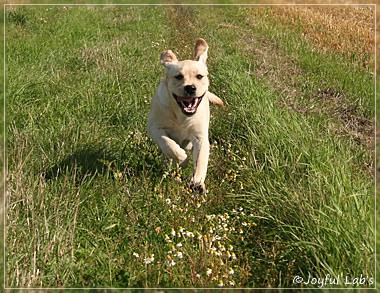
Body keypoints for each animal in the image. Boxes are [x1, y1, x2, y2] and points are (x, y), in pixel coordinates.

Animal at [146, 37, 223, 192]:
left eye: (199, 76)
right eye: (178, 76)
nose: (190, 87)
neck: (182, 116)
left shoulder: (200, 137)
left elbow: (200, 160)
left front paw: (197, 182)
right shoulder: (154, 127)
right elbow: (169, 144)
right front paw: (182, 160)